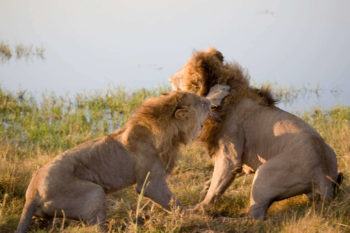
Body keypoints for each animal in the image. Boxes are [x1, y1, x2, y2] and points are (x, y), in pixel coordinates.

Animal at [17, 91, 213, 233]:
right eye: (202, 103)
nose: (211, 103)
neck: (170, 131)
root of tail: (32, 193)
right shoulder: (150, 182)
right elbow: (174, 202)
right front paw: (193, 215)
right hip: (94, 191)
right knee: (95, 225)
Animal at [171, 48, 344, 219]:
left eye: (181, 76)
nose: (170, 78)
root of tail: (324, 176)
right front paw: (204, 187)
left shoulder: (230, 155)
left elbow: (216, 186)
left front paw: (197, 209)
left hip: (264, 176)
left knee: (255, 216)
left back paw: (224, 217)